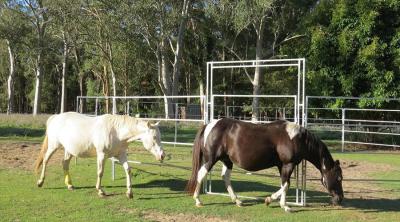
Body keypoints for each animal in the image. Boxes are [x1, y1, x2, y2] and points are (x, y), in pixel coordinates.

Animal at [34, 112, 165, 199]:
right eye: (154, 137)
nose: (162, 155)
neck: (116, 132)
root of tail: (55, 117)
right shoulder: (101, 155)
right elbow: (100, 172)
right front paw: (100, 191)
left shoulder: (121, 155)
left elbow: (128, 170)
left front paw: (129, 193)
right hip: (53, 146)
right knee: (45, 160)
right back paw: (40, 182)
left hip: (69, 150)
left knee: (65, 164)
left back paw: (70, 185)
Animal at [186, 119, 342, 212]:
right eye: (339, 178)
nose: (339, 199)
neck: (296, 138)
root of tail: (209, 125)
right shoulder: (288, 165)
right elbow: (286, 185)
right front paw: (281, 205)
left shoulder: (281, 166)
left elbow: (285, 184)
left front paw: (276, 202)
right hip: (211, 159)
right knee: (201, 174)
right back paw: (198, 200)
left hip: (226, 160)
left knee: (226, 177)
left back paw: (237, 201)